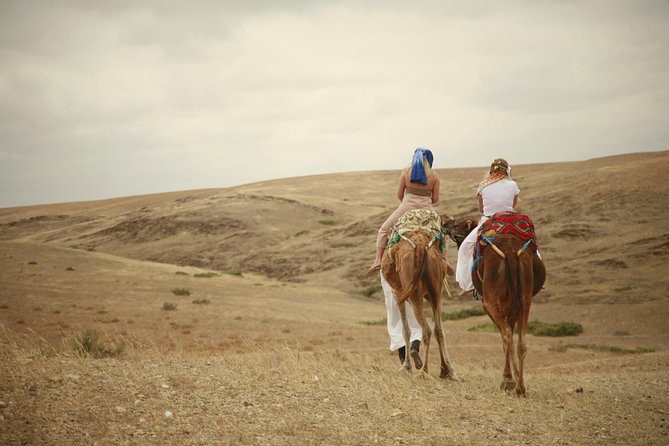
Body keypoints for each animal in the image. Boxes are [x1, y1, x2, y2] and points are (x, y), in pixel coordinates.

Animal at [378, 211, 456, 378]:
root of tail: (420, 245)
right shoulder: (429, 294)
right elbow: (438, 329)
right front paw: (449, 369)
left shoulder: (398, 294)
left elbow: (406, 330)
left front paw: (406, 367)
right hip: (436, 290)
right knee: (438, 330)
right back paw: (446, 370)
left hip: (414, 293)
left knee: (426, 330)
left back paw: (423, 371)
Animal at [444, 214, 544, 396]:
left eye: (458, 225)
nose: (445, 221)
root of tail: (510, 252)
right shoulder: (512, 308)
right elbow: (512, 339)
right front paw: (517, 377)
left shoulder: (490, 304)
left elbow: (506, 337)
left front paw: (511, 378)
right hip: (525, 299)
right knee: (521, 342)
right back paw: (521, 387)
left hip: (492, 299)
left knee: (506, 334)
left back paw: (508, 381)